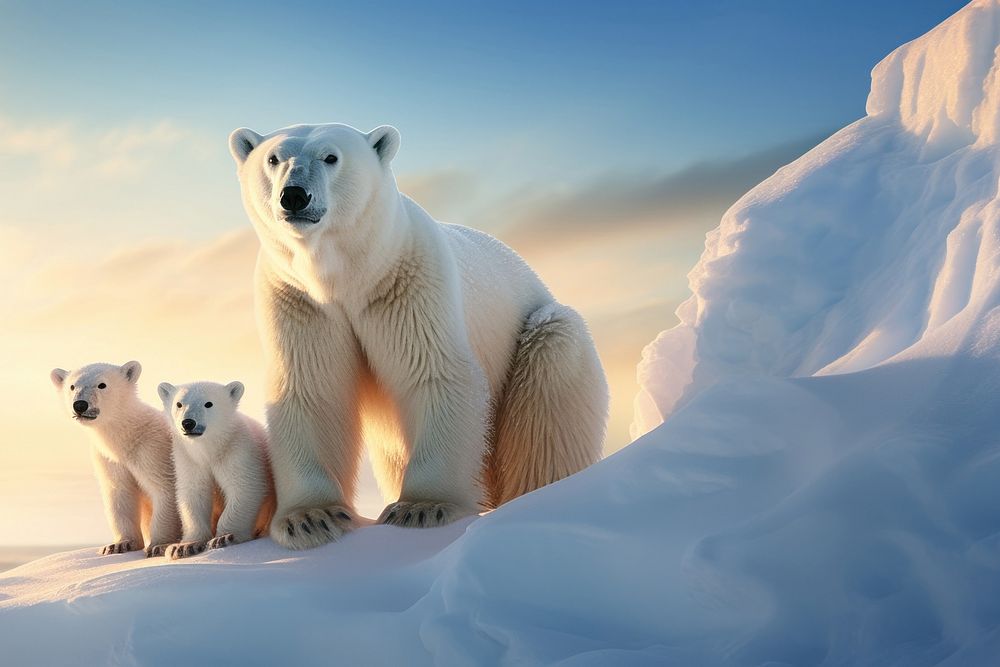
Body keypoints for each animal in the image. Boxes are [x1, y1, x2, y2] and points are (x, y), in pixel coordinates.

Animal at [230, 122, 604, 552]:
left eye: (331, 157)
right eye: (273, 158)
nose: (294, 195)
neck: (347, 275)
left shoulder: (407, 281)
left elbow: (432, 372)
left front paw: (422, 508)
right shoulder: (299, 299)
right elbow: (312, 389)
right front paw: (311, 519)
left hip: (537, 337)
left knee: (552, 363)